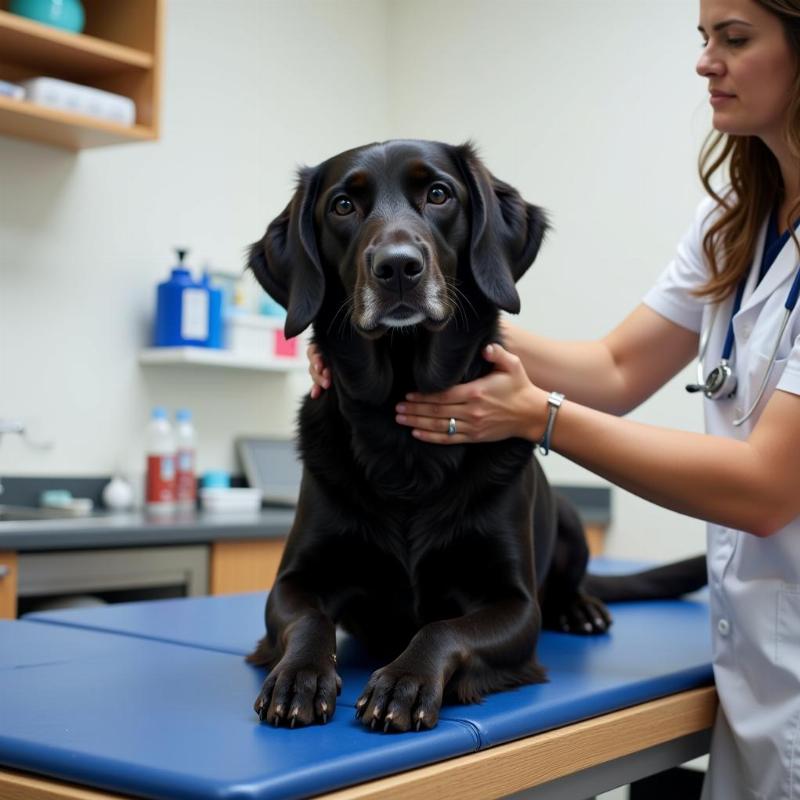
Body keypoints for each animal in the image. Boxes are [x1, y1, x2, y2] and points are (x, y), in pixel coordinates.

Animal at [245, 139, 708, 732]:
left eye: (439, 194)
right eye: (343, 206)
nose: (398, 267)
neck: (402, 439)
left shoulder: (514, 603)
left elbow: (443, 628)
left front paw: (405, 680)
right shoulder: (294, 581)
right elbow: (306, 623)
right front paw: (299, 675)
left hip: (569, 518)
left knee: (567, 583)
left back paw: (580, 607)